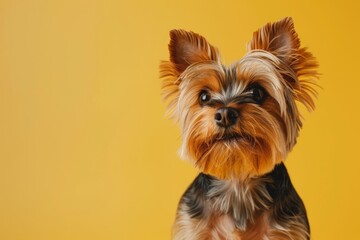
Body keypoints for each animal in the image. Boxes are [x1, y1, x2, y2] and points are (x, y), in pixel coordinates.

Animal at [160, 17, 318, 240]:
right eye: (204, 96)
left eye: (257, 92)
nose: (225, 114)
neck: (237, 180)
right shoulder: (191, 227)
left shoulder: (287, 229)